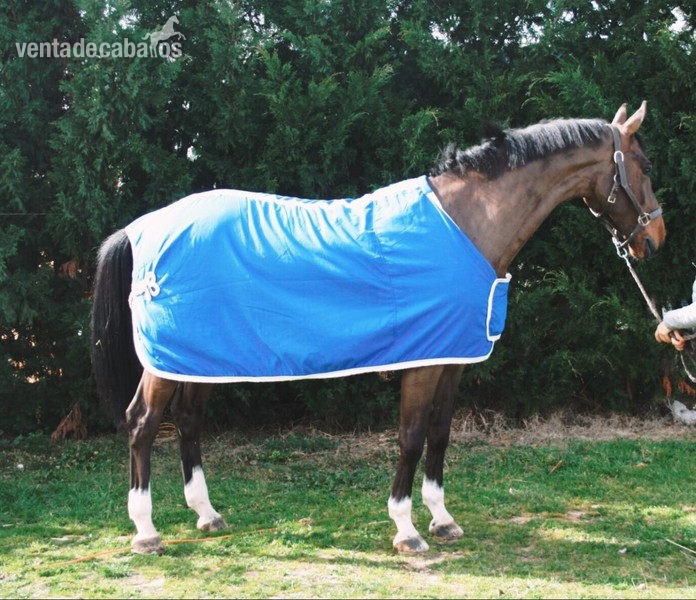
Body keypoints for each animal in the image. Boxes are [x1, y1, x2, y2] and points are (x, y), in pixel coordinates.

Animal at [90, 102, 665, 555]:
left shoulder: (452, 360)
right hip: (165, 363)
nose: (654, 238)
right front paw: (406, 529)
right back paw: (146, 531)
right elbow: (410, 437)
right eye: (644, 165)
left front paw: (443, 520)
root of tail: (142, 226)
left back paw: (207, 515)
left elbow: (439, 435)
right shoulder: (423, 363)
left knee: (188, 421)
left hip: (199, 356)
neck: (468, 224)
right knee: (142, 424)